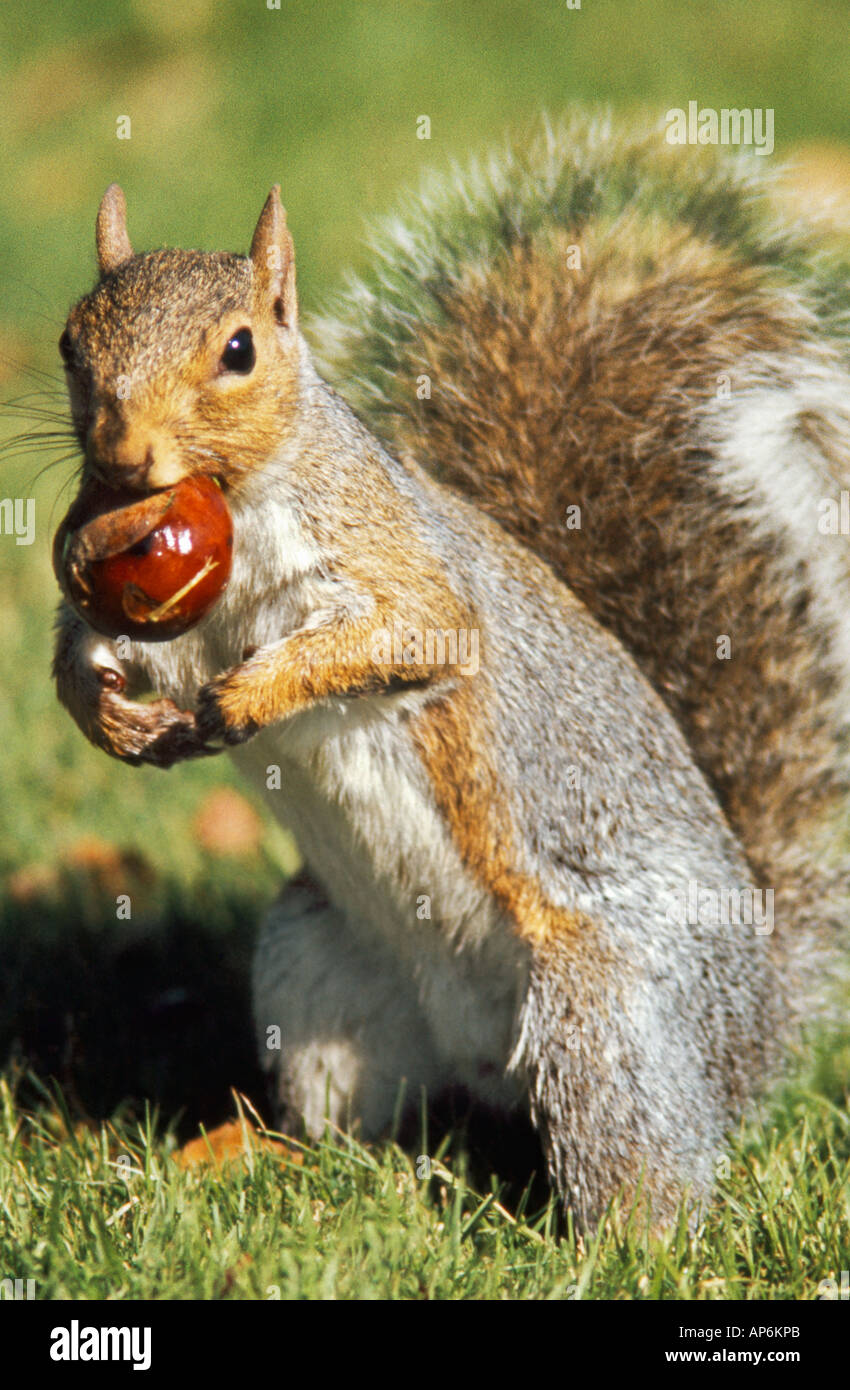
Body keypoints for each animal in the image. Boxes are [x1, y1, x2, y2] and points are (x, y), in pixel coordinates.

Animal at [49, 116, 849, 1228]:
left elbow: (413, 633)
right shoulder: (131, 593)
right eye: (70, 342)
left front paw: (256, 691)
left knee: (640, 1159)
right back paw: (276, 1159)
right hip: (318, 969)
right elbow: (90, 642)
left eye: (240, 350)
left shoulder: (396, 562)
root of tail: (757, 1025)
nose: (123, 456)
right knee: (354, 1115)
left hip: (609, 1009)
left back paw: (623, 1238)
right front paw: (106, 714)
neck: (238, 502)